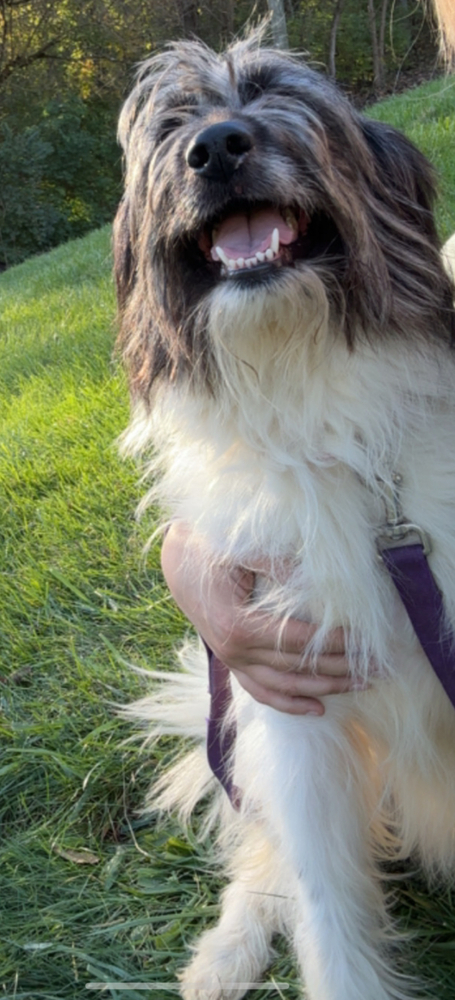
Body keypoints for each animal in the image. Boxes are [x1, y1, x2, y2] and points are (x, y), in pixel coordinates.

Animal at [116, 29, 455, 1000]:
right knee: (268, 862)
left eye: (277, 92)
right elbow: (323, 899)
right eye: (172, 124)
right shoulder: (292, 695)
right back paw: (223, 956)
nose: (216, 149)